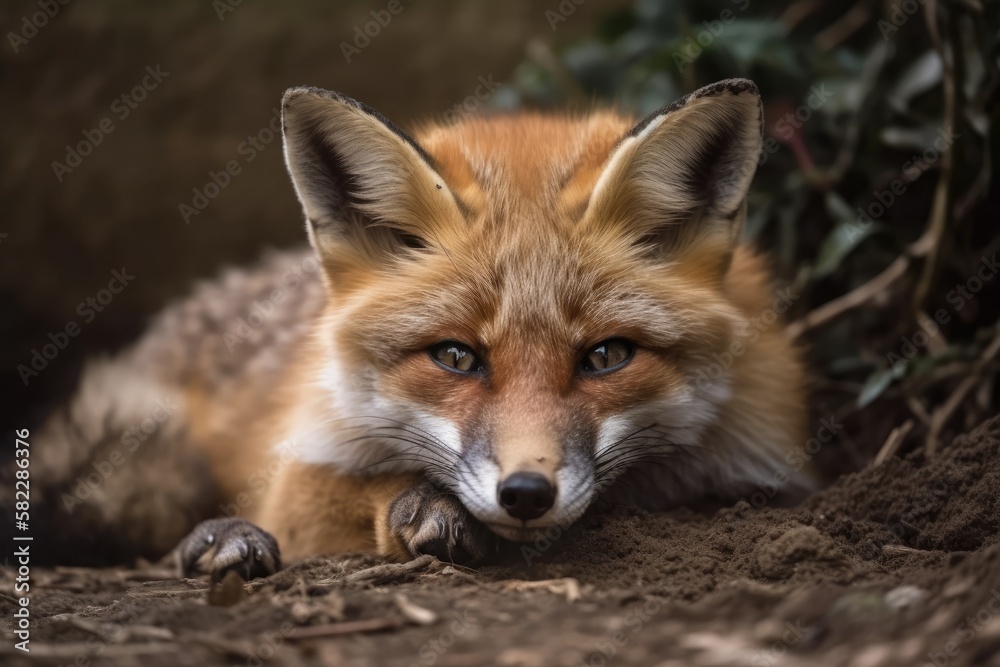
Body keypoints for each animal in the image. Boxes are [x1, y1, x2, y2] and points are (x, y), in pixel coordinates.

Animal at [23, 77, 816, 580]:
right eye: (456, 357)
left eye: (607, 355)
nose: (525, 493)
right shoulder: (299, 466)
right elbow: (355, 486)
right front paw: (422, 505)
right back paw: (222, 538)